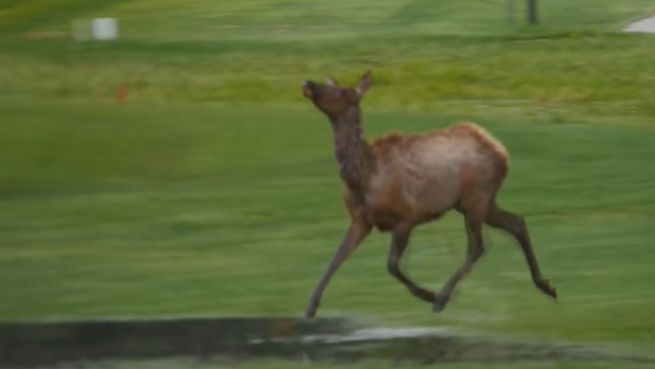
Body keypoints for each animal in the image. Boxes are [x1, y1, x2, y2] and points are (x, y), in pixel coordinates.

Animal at [302, 71, 560, 316]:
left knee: (477, 246)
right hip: (478, 203)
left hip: (476, 199)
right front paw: (311, 306)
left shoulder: (405, 217)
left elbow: (392, 265)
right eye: (332, 84)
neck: (361, 178)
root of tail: (502, 151)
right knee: (517, 223)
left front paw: (428, 294)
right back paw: (545, 285)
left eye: (344, 92)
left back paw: (442, 297)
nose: (308, 83)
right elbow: (335, 259)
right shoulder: (360, 220)